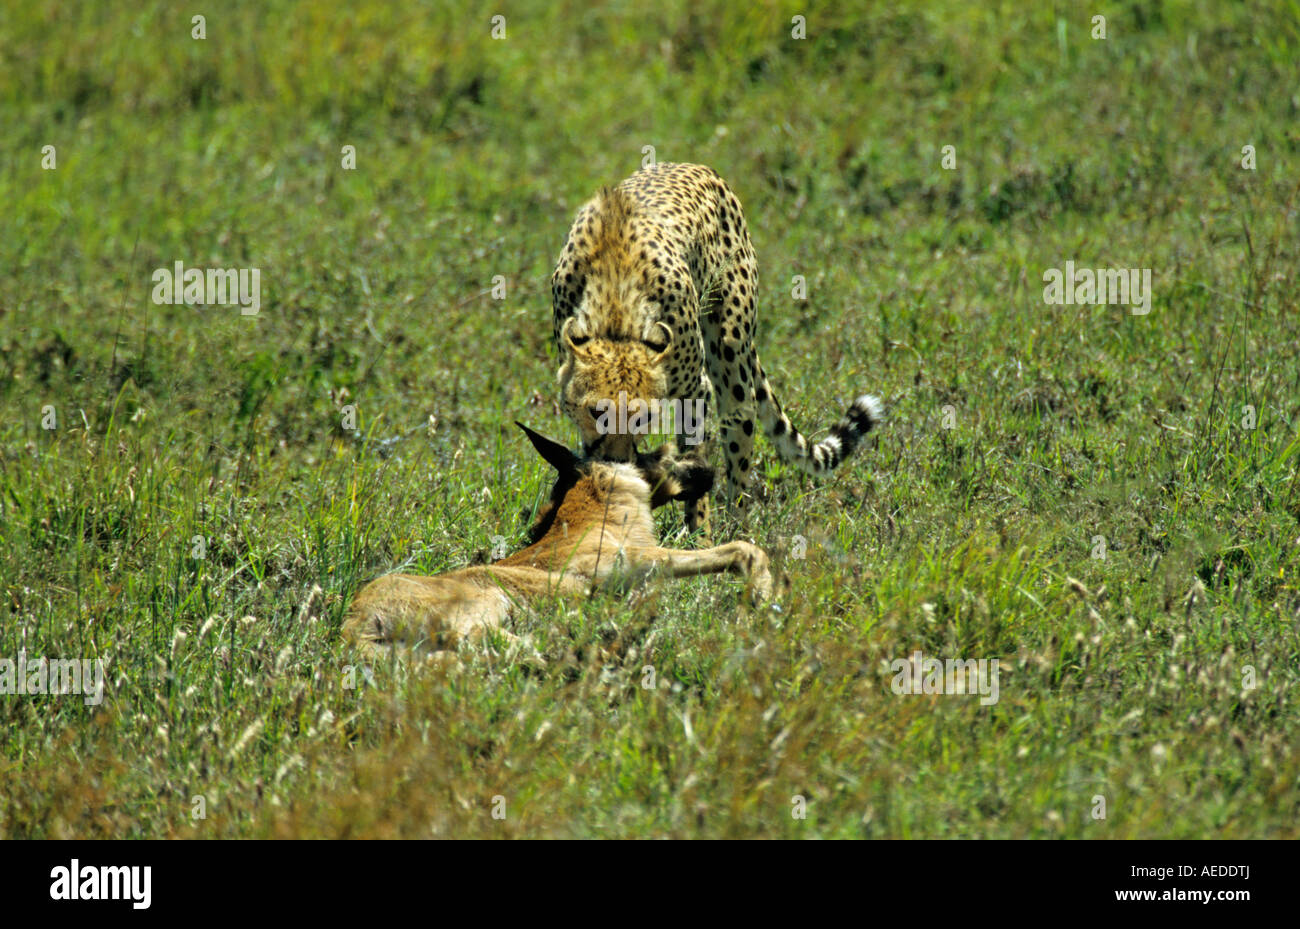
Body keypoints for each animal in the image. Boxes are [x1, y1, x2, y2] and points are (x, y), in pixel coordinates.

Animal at [548, 159, 883, 530]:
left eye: (644, 417)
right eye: (596, 412)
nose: (617, 462)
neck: (616, 309)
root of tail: (692, 165)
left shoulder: (696, 389)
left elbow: (697, 462)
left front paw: (699, 534)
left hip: (731, 354)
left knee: (740, 442)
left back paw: (737, 527)